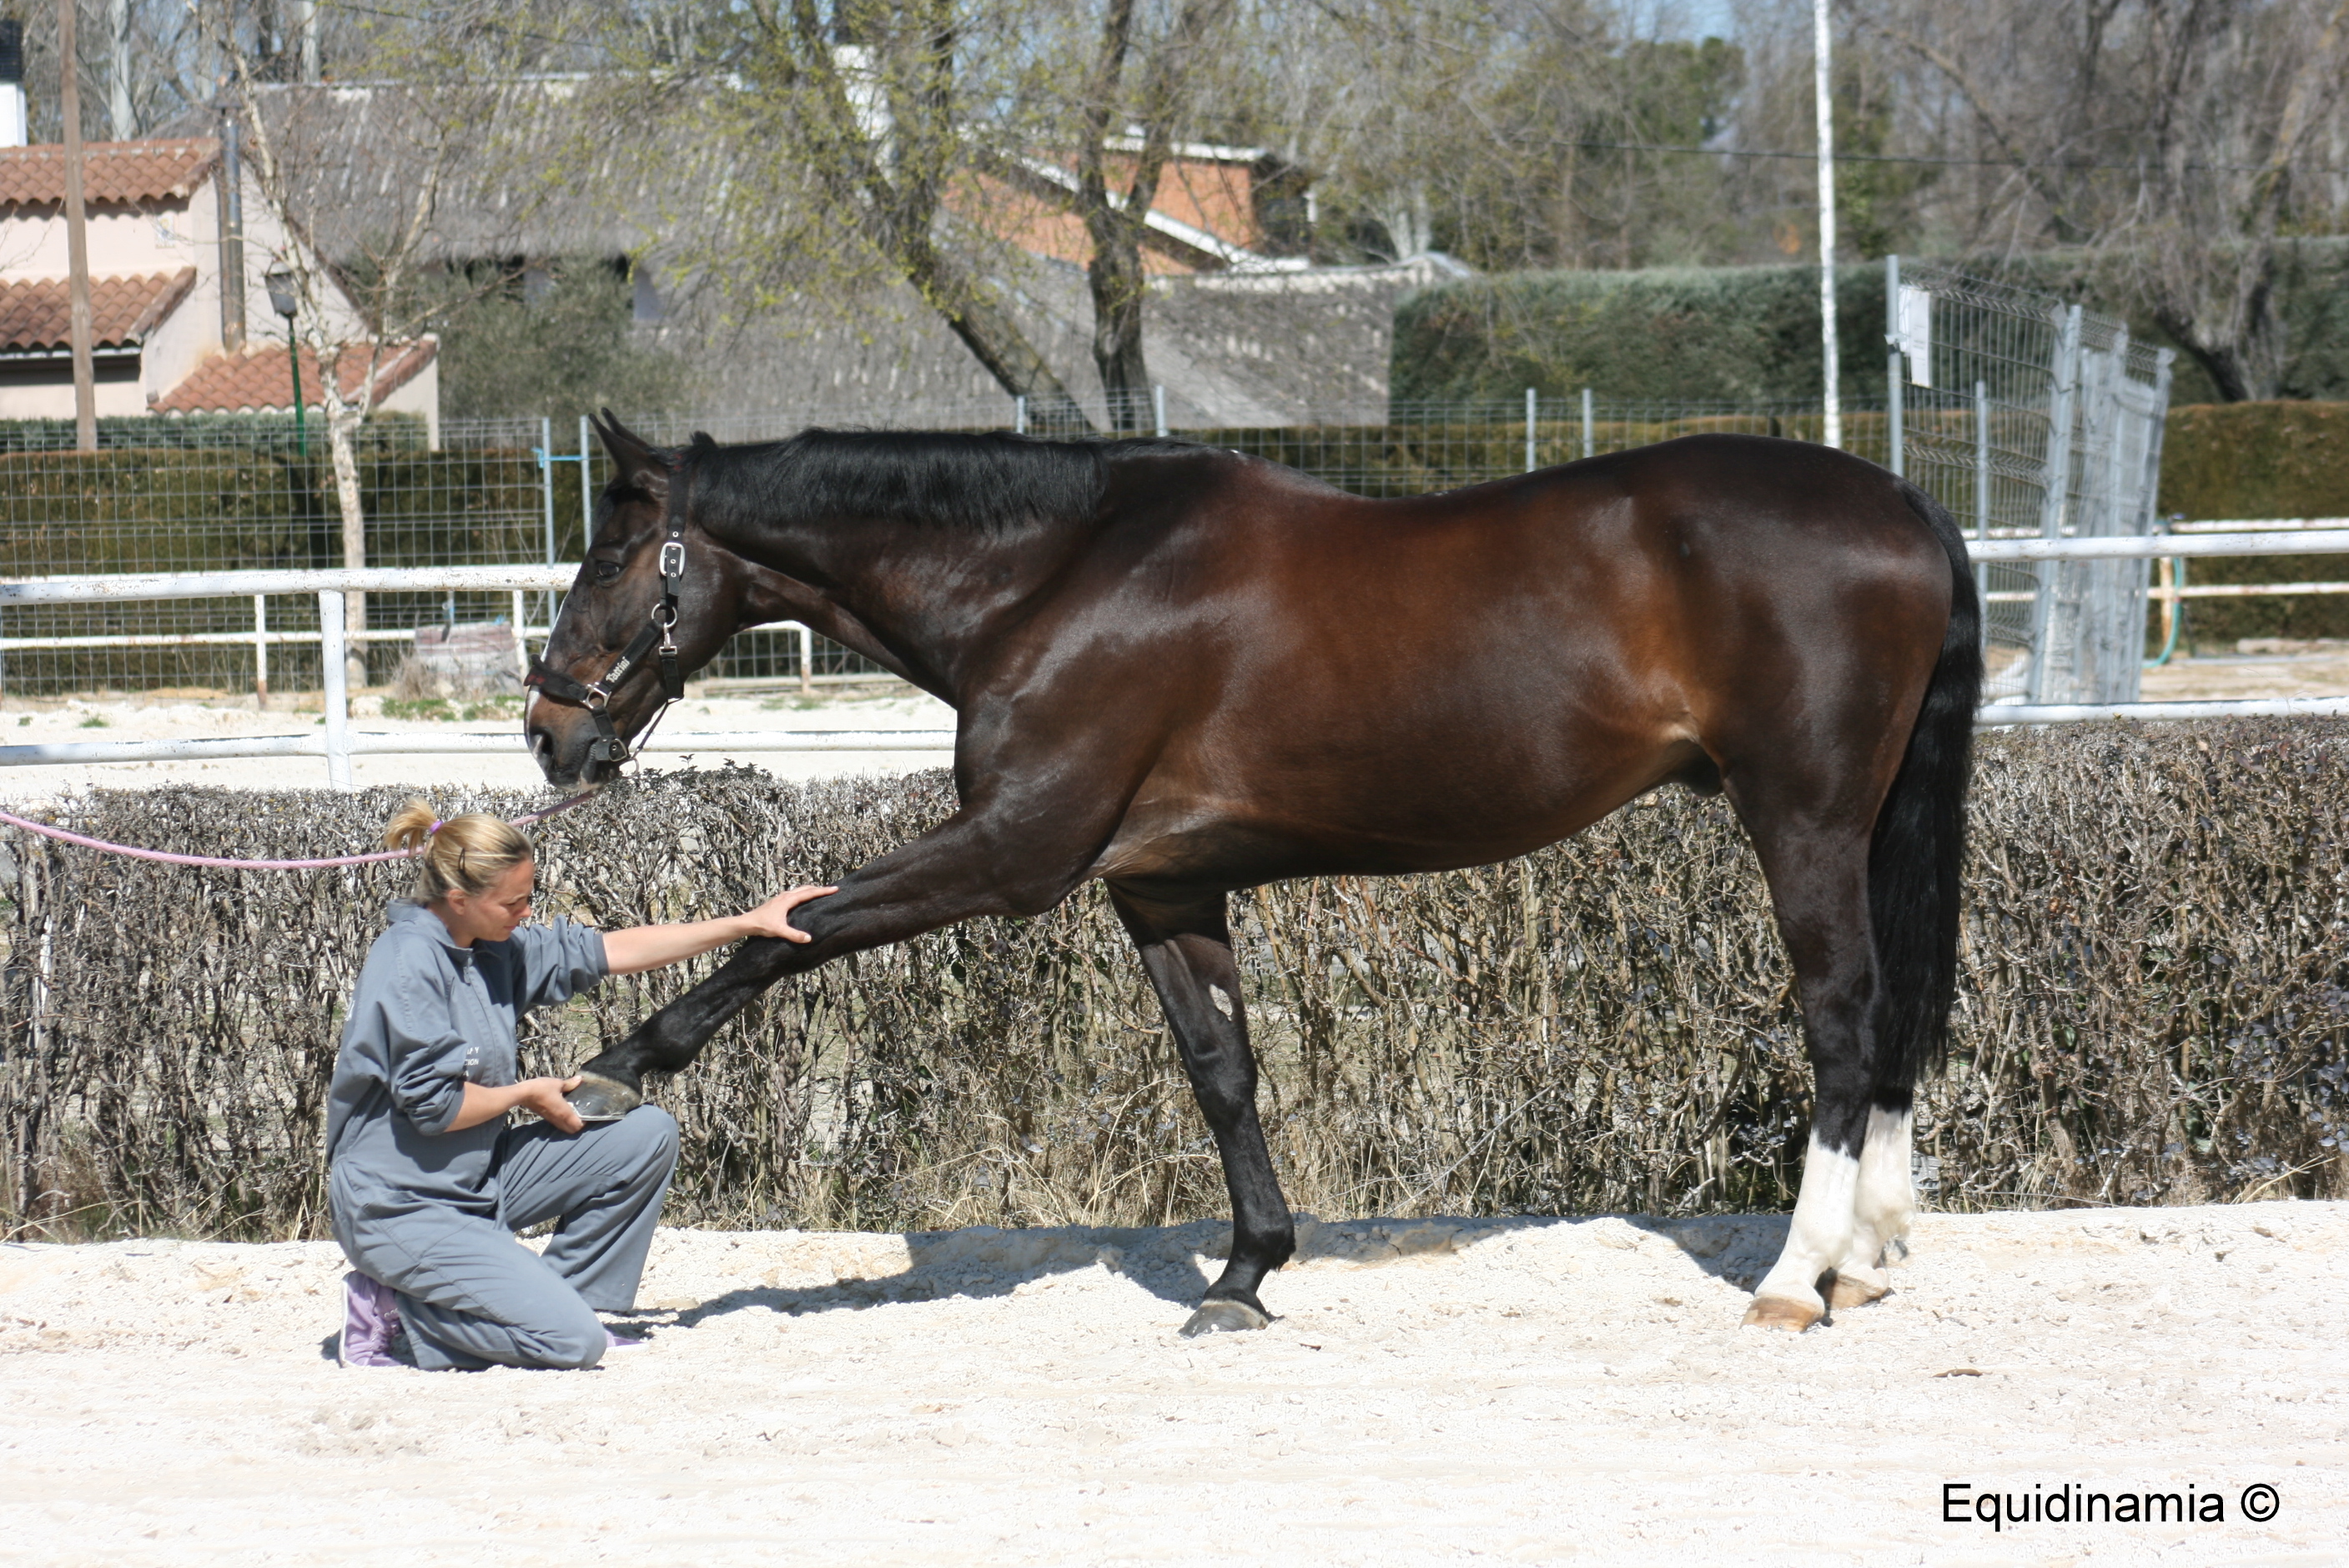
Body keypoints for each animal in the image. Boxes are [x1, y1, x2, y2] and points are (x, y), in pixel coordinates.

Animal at [524, 411, 1980, 1335]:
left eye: (609, 555)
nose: (546, 731)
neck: (1054, 582)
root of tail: (1905, 502)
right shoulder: (1161, 888)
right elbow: (1224, 1075)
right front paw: (1245, 1275)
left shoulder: (1013, 854)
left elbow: (799, 928)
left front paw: (612, 1068)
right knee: (1893, 1018)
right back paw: (1864, 1260)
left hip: (1802, 819)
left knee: (1845, 1020)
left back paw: (1795, 1277)